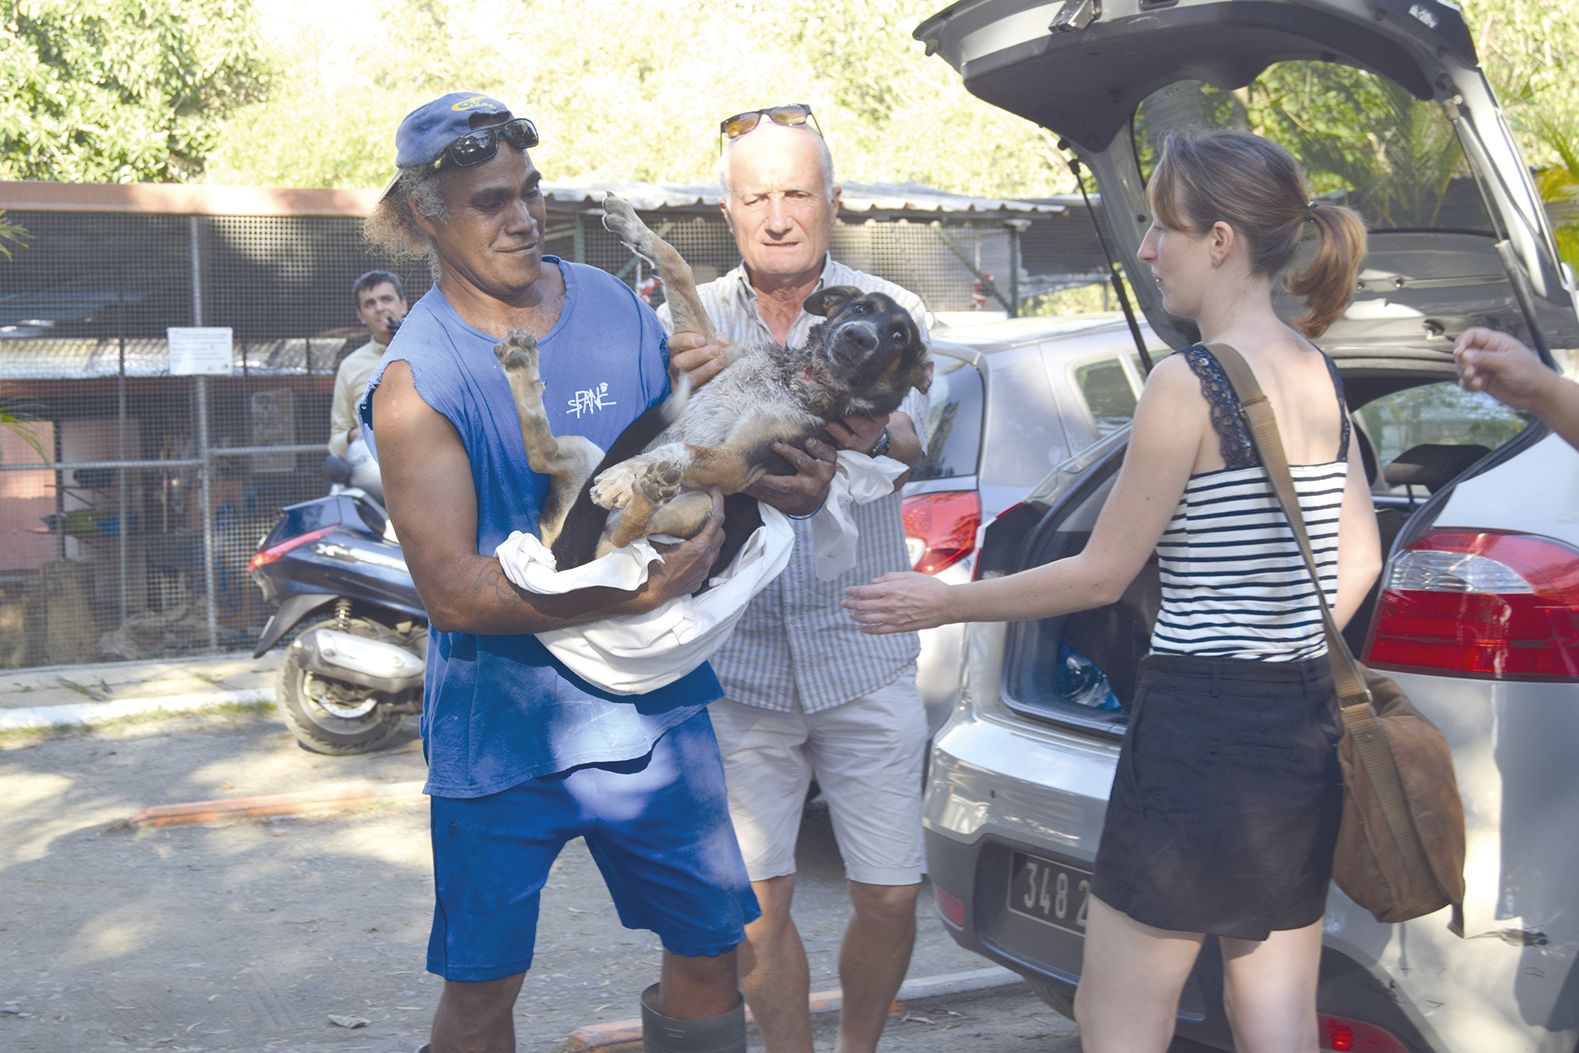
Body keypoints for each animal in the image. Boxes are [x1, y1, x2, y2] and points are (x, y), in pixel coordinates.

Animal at [495, 193, 922, 580]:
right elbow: (678, 267)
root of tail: (561, 563)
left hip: (698, 503)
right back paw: (521, 365)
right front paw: (633, 226)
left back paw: (647, 489)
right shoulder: (710, 346)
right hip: (583, 452)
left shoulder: (739, 463)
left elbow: (686, 449)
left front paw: (626, 473)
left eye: (899, 337)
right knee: (543, 454)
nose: (858, 337)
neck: (796, 381)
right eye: (860, 309)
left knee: (622, 541)